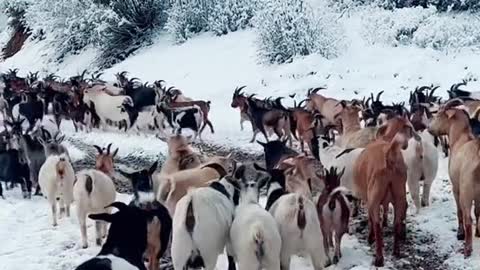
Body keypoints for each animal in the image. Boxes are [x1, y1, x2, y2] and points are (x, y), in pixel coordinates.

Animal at [352, 116, 416, 266]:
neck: (387, 139)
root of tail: (390, 155)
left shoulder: (368, 198)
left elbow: (371, 219)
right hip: (399, 194)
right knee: (397, 222)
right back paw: (396, 251)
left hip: (374, 197)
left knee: (376, 224)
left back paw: (379, 257)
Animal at [428, 99, 480, 258]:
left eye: (439, 114)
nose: (428, 127)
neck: (460, 138)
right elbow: (478, 212)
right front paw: (478, 233)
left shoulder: (456, 188)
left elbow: (459, 212)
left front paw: (460, 233)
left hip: (466, 192)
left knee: (468, 218)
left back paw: (467, 248)